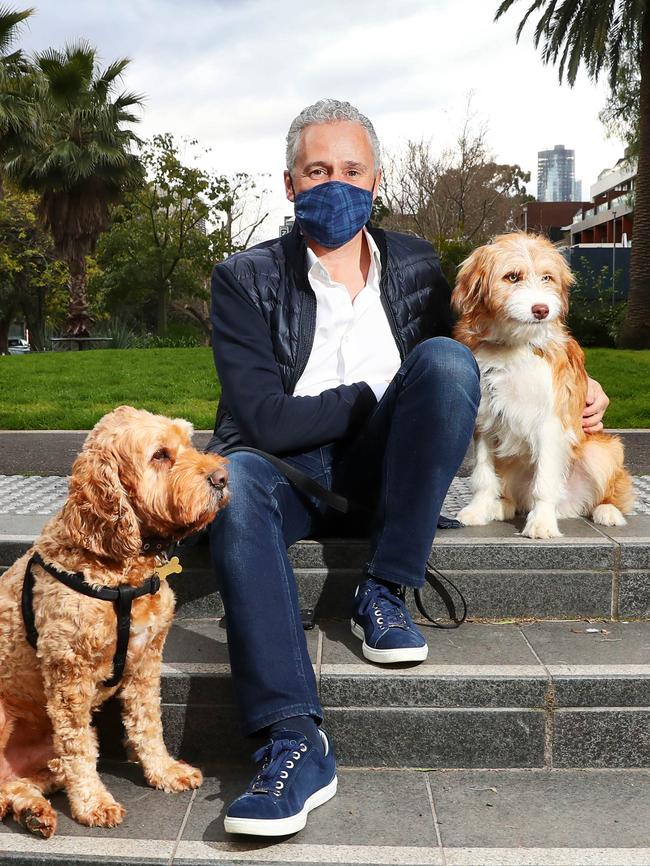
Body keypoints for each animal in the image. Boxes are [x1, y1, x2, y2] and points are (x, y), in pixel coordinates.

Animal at [0, 404, 228, 836]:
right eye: (160, 455)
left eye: (188, 442)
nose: (223, 479)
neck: (117, 570)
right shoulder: (68, 674)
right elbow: (79, 748)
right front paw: (93, 803)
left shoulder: (146, 660)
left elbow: (148, 724)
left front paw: (165, 771)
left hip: (43, 755)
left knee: (15, 784)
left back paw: (32, 811)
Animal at [454, 233, 632, 536]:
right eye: (512, 277)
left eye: (547, 277)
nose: (541, 310)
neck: (513, 345)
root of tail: (569, 507)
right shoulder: (485, 419)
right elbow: (483, 474)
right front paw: (478, 509)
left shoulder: (549, 422)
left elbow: (545, 481)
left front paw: (541, 523)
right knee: (513, 496)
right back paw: (501, 506)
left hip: (604, 451)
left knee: (607, 494)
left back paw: (607, 511)